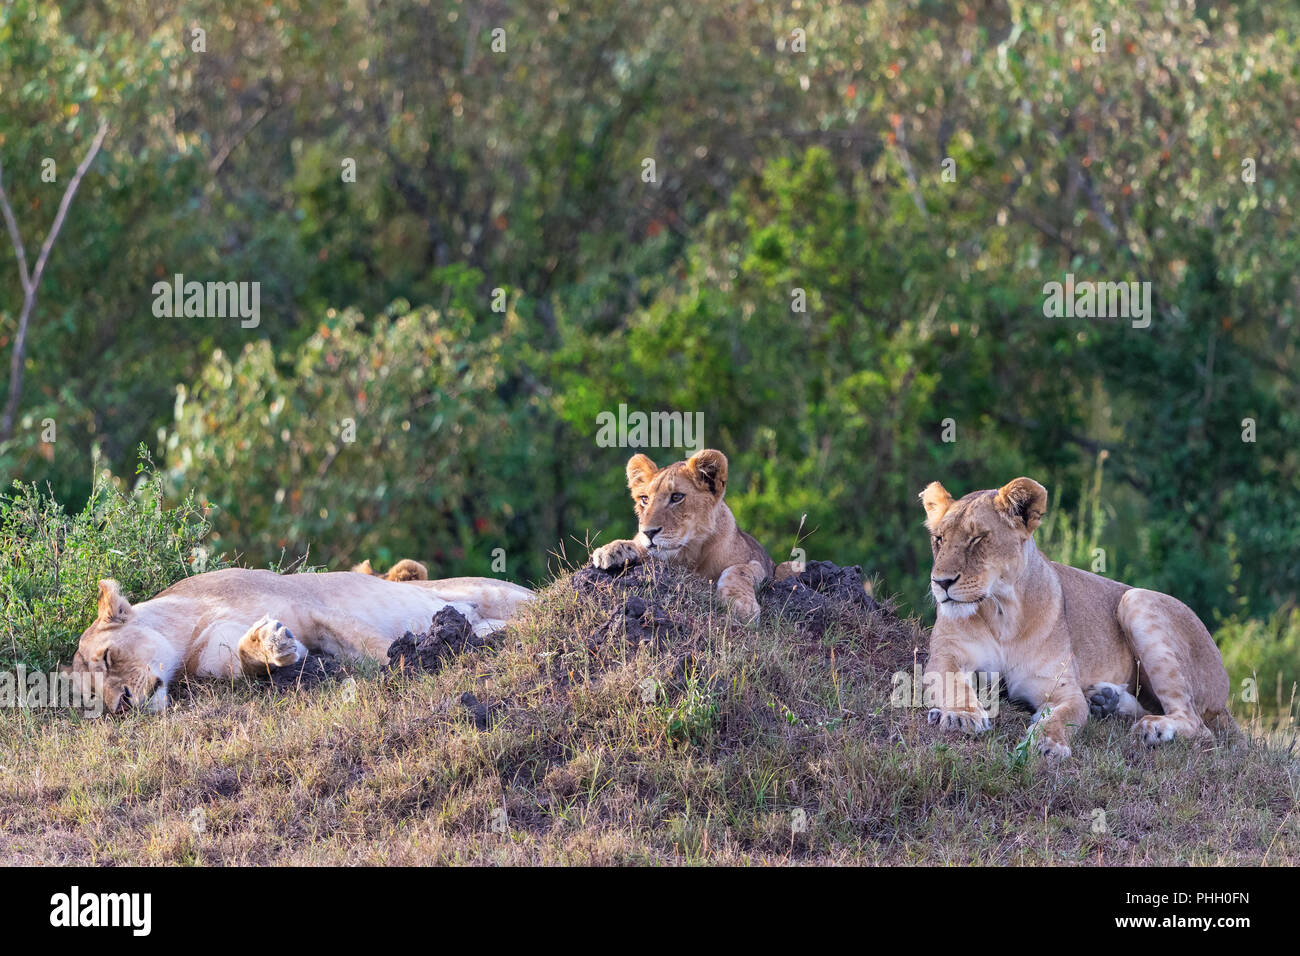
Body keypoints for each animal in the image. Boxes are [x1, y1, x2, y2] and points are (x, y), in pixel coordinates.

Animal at [64, 567, 533, 717]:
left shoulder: (311, 607)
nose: (122, 705)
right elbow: (246, 657)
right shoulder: (216, 662)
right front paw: (273, 645)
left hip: (499, 594)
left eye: (109, 657)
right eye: (95, 699)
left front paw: (411, 660)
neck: (186, 633)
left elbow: (373, 643)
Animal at [920, 478, 1232, 764]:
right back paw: (1107, 701)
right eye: (939, 539)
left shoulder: (1062, 689)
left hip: (1136, 599)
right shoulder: (946, 655)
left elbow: (1063, 717)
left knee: (1198, 725)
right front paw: (962, 716)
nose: (940, 582)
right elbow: (952, 682)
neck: (1002, 614)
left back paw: (1152, 727)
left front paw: (1048, 744)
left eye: (977, 539)